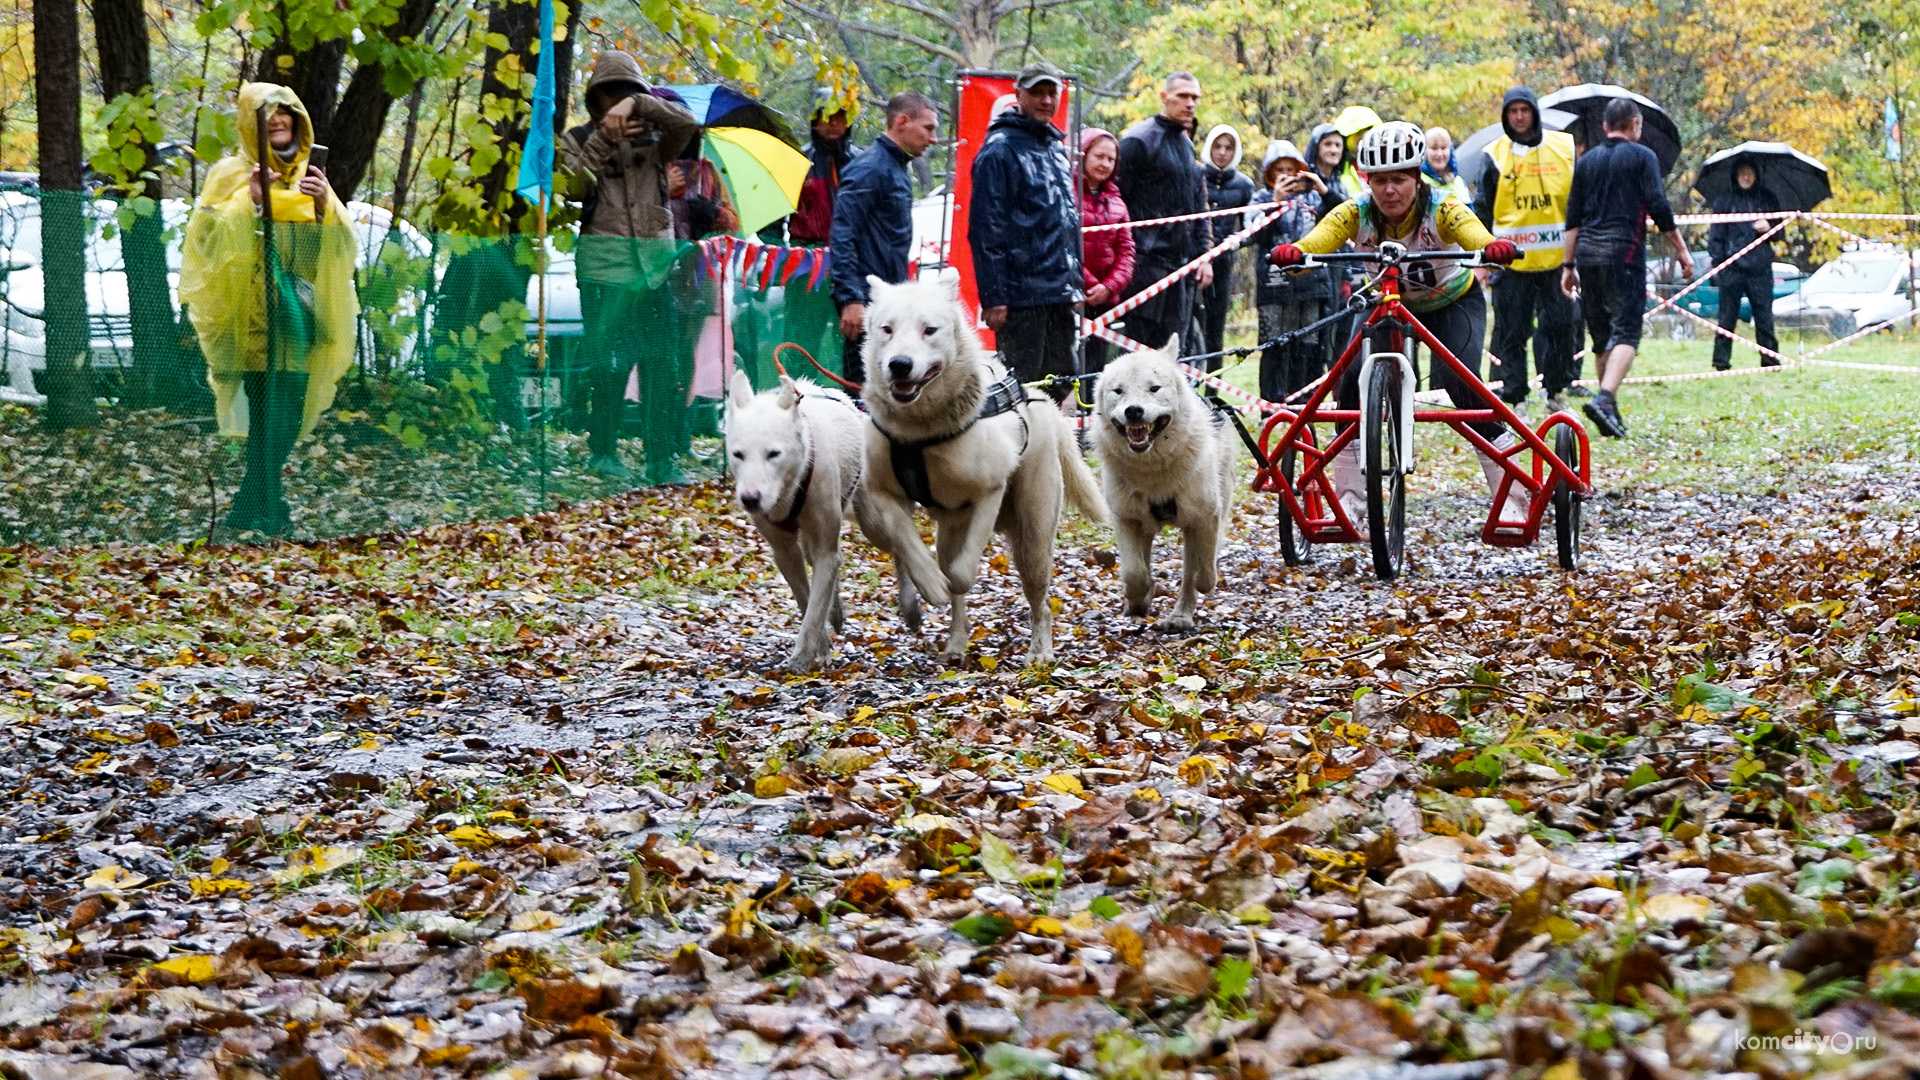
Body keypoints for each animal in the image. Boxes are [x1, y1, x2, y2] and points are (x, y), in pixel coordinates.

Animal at [721, 374, 867, 668]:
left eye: (773, 454)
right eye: (738, 454)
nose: (750, 498)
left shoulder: (824, 548)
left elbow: (815, 606)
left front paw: (802, 655)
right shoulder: (785, 552)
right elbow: (806, 599)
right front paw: (820, 647)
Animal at [860, 272, 1113, 661]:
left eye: (929, 329)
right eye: (886, 328)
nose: (899, 364)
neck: (920, 434)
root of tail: (1039, 397)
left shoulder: (990, 489)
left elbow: (962, 572)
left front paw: (942, 582)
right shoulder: (881, 493)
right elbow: (904, 539)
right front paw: (925, 584)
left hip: (1033, 535)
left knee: (1039, 600)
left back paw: (1040, 650)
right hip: (947, 528)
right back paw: (952, 640)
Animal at [1090, 338, 1236, 630]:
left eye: (1154, 388)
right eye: (1118, 391)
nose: (1133, 411)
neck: (1153, 470)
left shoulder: (1205, 517)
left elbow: (1204, 571)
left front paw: (1204, 582)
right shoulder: (1126, 518)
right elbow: (1134, 573)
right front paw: (1139, 597)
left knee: (1192, 572)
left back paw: (1180, 617)